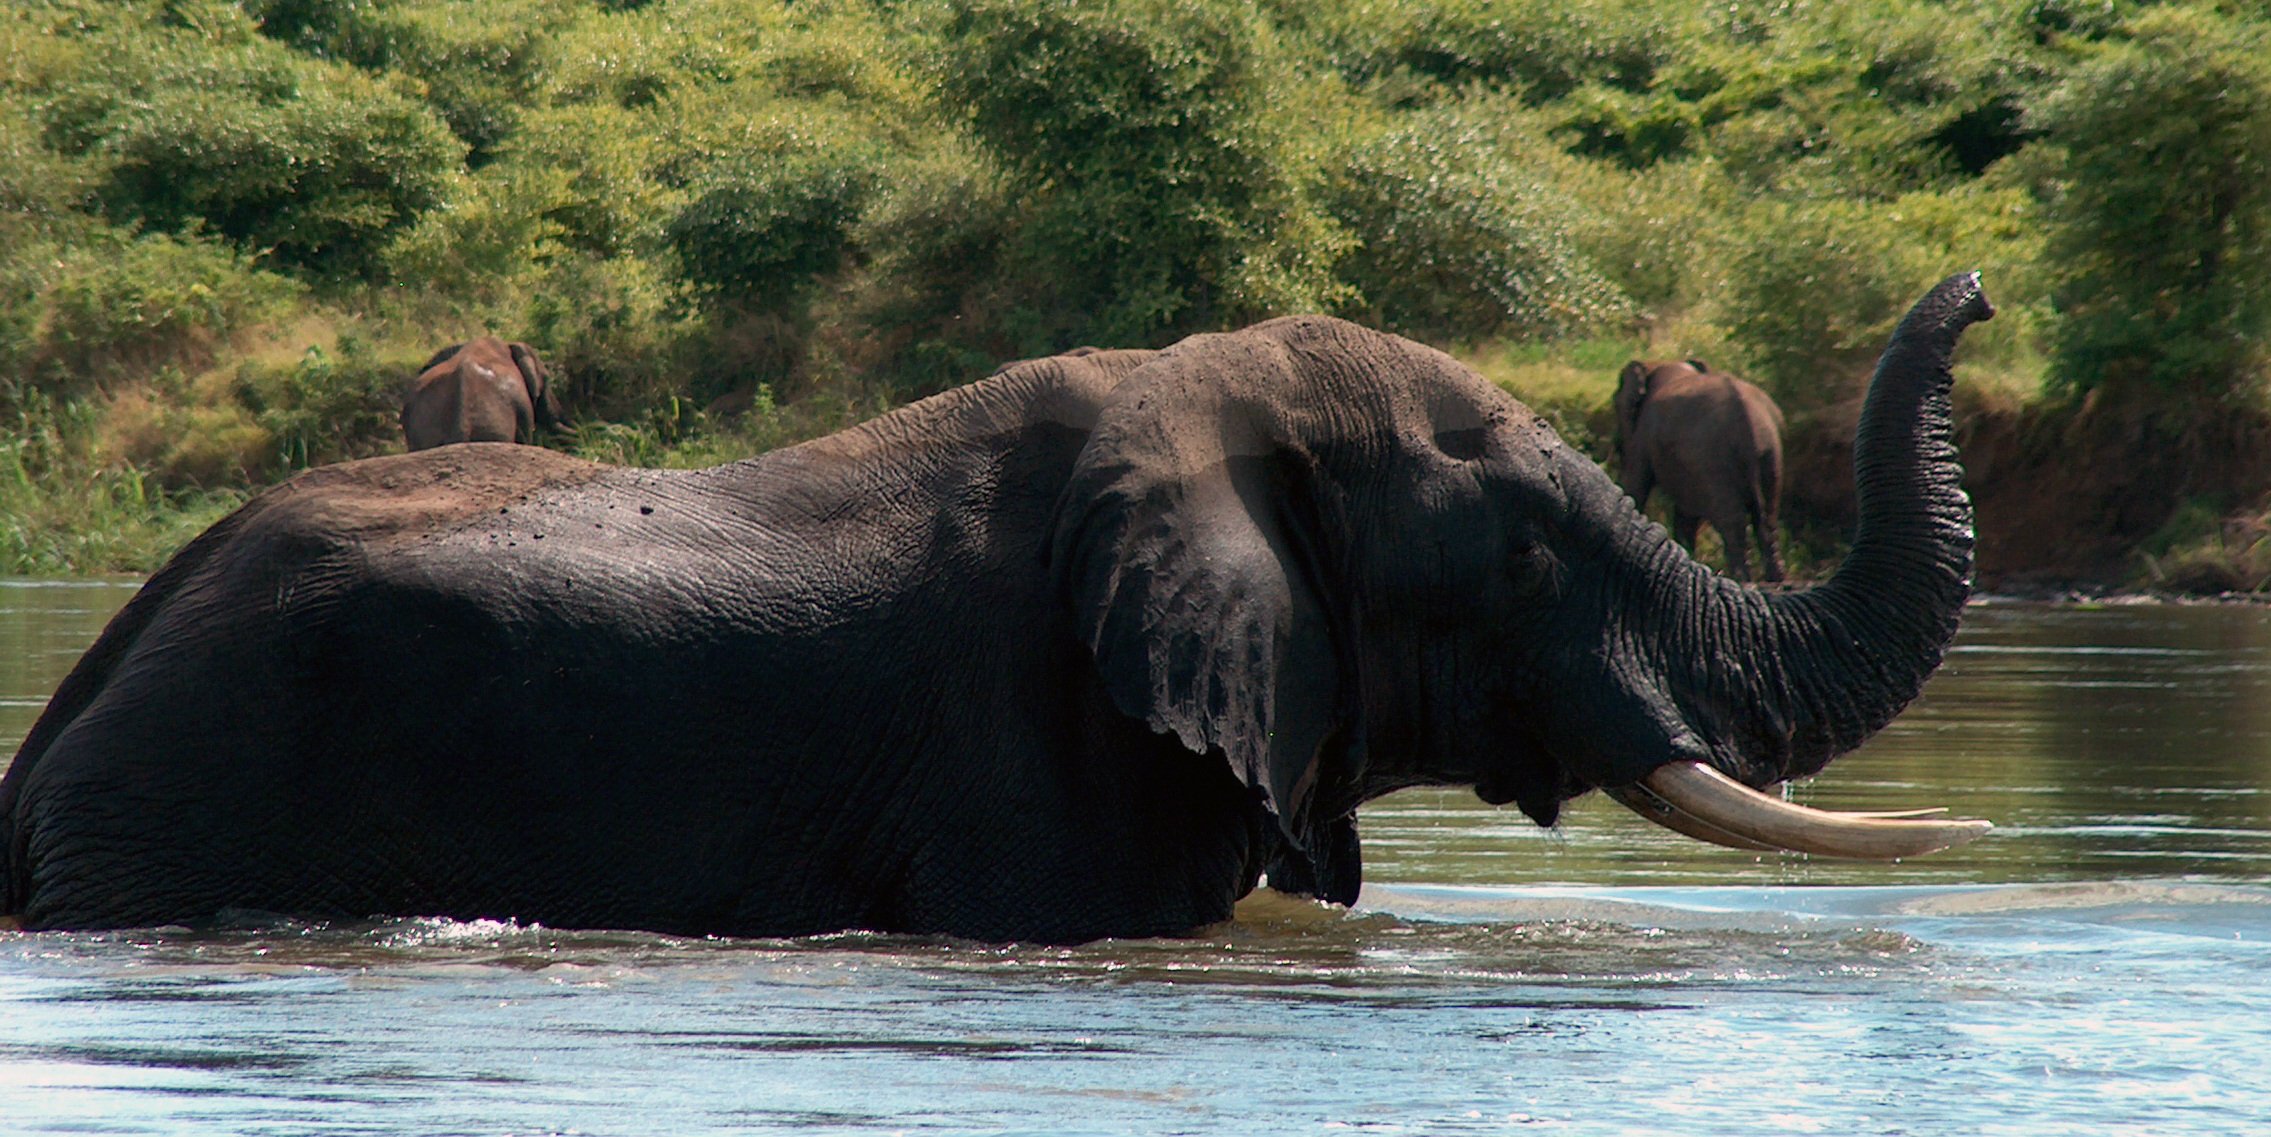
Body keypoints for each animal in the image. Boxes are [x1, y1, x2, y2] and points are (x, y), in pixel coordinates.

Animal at [1607, 356, 1780, 585]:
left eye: (1615, 403)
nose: (1616, 445)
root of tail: (1747, 422)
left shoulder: (1645, 432)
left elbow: (1636, 486)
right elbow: (1685, 514)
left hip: (1713, 458)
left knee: (1732, 521)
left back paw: (1742, 579)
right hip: (1770, 451)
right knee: (1768, 517)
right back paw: (1775, 580)